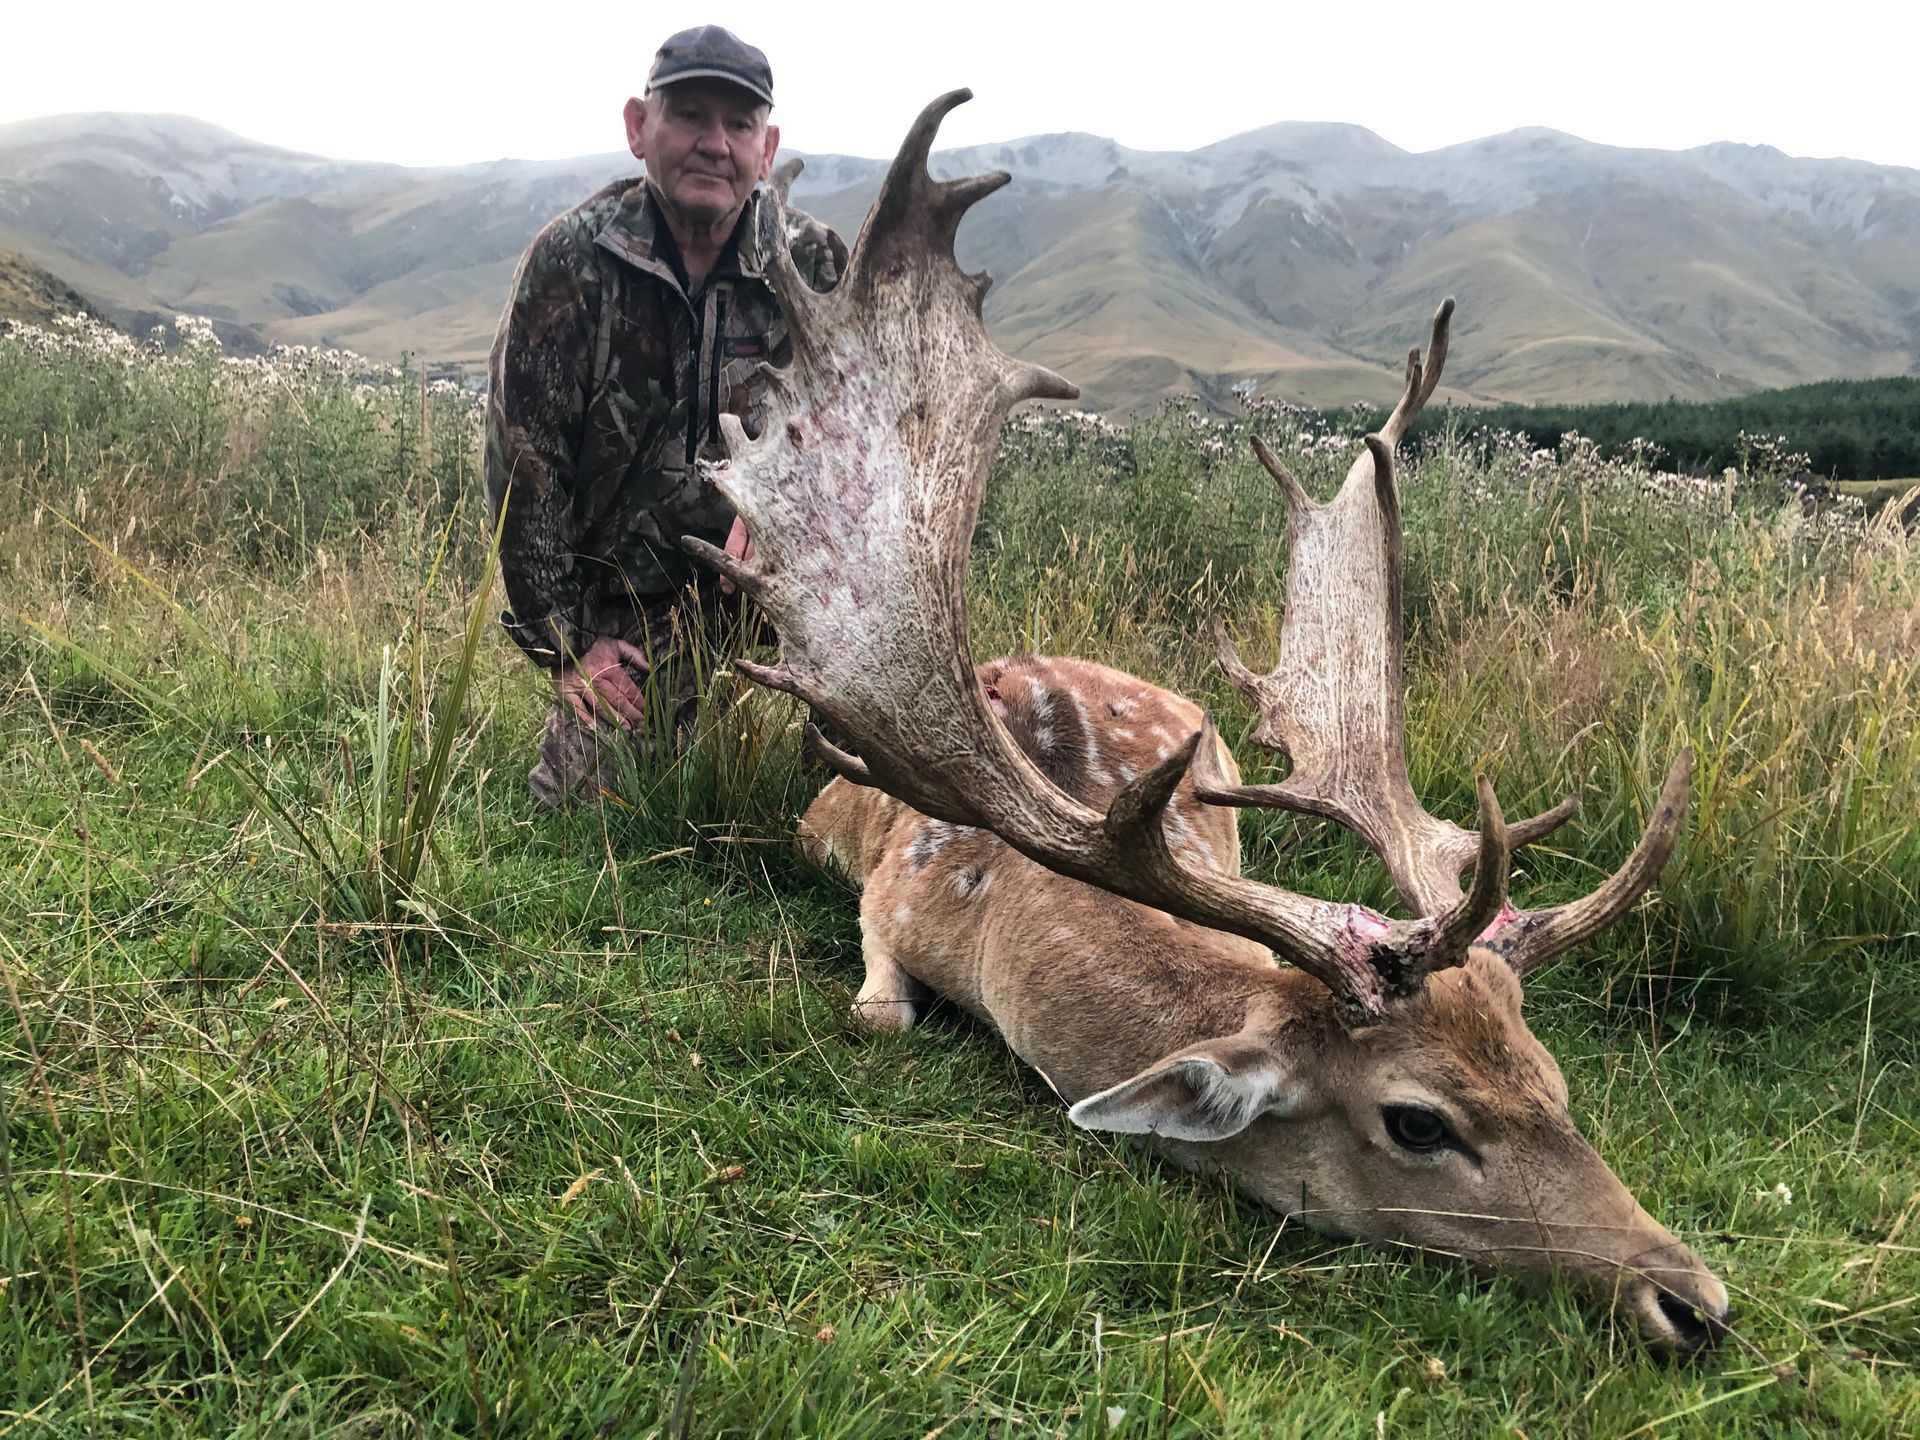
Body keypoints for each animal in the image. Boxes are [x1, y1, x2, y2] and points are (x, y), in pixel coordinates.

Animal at [684, 92, 1732, 1356]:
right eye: (1419, 1121)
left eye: (1550, 1076)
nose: (1696, 1299)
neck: (992, 918)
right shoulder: (884, 895)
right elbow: (877, 1012)